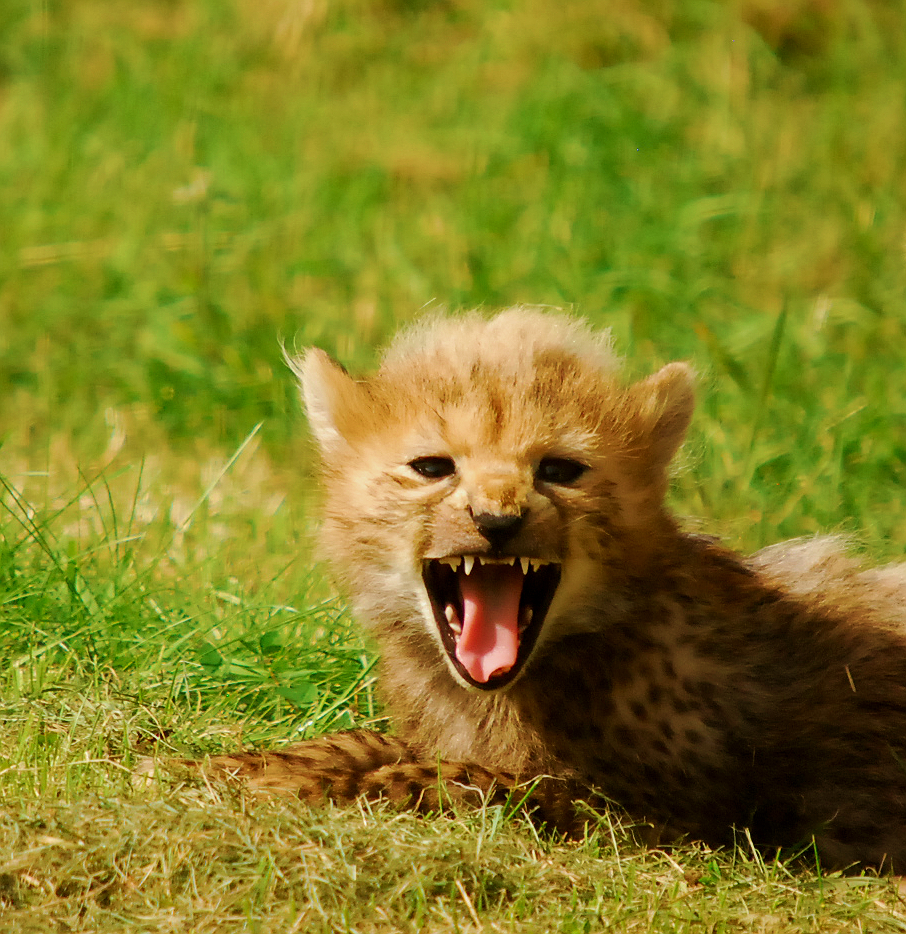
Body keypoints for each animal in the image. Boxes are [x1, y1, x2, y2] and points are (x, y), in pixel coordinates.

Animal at [176, 309, 906, 870]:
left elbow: (498, 781)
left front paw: (376, 784)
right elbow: (371, 741)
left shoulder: (689, 823)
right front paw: (252, 764)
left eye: (560, 470)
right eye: (432, 467)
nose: (498, 521)